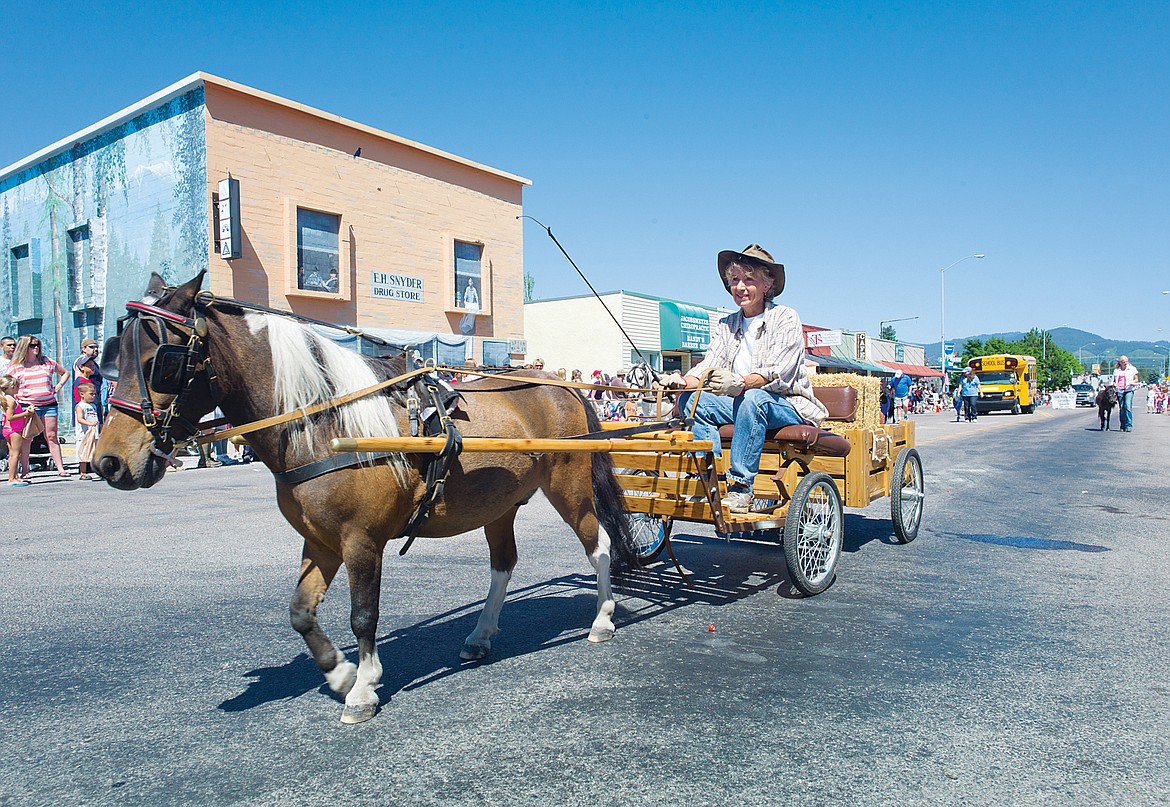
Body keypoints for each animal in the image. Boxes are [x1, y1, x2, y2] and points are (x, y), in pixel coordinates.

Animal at [94, 270, 636, 725]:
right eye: (110, 359)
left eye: (161, 363)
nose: (108, 462)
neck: (323, 424)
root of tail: (560, 386)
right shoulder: (321, 541)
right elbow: (300, 612)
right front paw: (339, 672)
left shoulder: (361, 541)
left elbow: (363, 614)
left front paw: (363, 688)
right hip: (499, 506)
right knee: (503, 564)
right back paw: (481, 635)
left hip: (569, 489)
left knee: (599, 547)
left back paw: (602, 619)